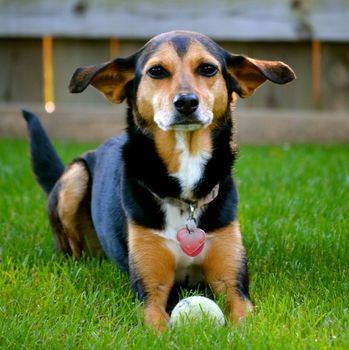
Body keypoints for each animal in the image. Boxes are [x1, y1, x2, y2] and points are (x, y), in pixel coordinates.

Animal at [22, 30, 294, 330]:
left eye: (208, 69)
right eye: (157, 71)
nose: (186, 102)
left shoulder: (233, 283)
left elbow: (243, 321)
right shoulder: (150, 291)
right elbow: (157, 324)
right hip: (75, 178)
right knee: (70, 248)